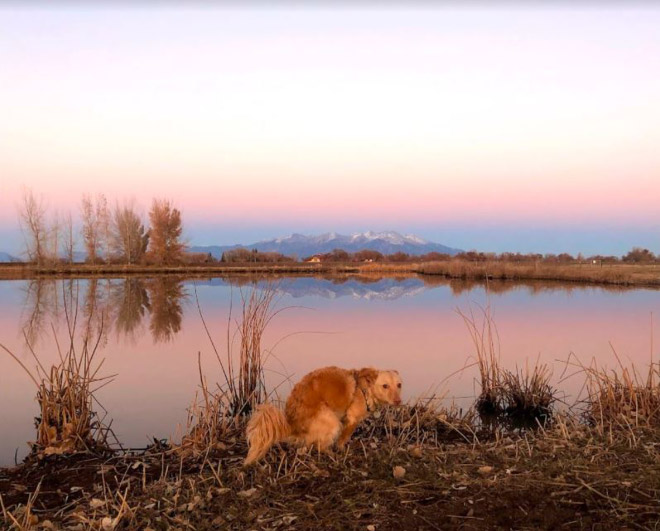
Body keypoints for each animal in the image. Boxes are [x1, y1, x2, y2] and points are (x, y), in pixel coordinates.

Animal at [245, 366, 402, 466]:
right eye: (385, 386)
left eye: (399, 385)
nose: (398, 401)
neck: (363, 388)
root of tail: (292, 423)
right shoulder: (351, 419)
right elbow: (343, 438)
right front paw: (341, 449)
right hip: (332, 421)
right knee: (320, 446)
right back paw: (332, 455)